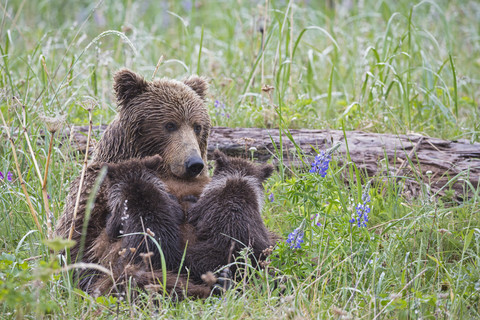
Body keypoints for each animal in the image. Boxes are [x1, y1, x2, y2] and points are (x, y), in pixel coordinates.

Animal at [184, 151, 274, 282]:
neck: (239, 179)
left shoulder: (205, 205)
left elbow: (192, 213)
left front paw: (189, 199)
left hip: (213, 251)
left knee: (193, 259)